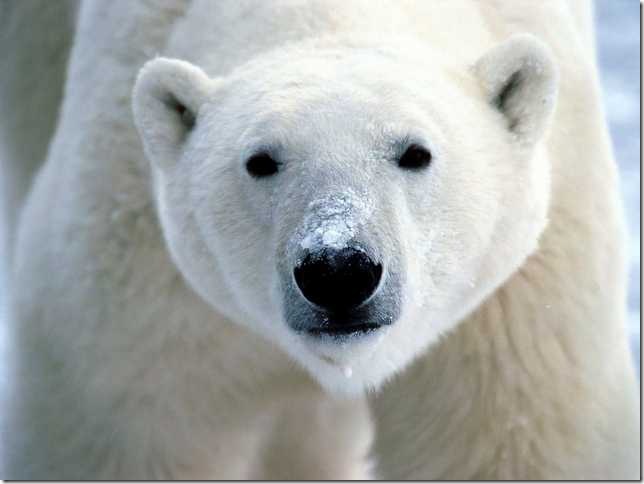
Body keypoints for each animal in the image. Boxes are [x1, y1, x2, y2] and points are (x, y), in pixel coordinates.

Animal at [1, 0, 640, 478]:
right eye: (261, 161)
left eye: (416, 152)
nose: (338, 271)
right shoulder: (135, 280)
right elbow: (126, 431)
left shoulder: (517, 307)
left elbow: (507, 441)